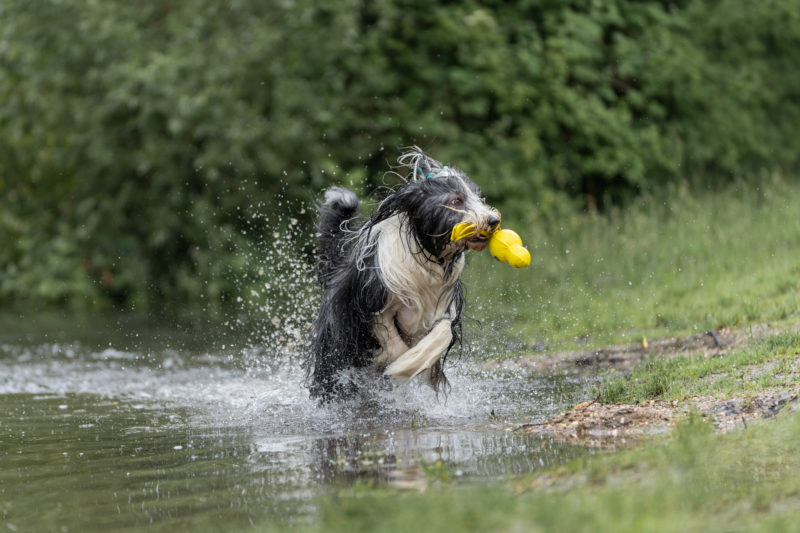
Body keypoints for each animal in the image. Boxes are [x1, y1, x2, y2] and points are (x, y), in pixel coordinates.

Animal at [310, 145, 496, 400]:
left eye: (480, 198)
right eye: (456, 200)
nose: (493, 220)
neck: (427, 256)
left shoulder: (444, 306)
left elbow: (442, 332)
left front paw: (417, 363)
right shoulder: (373, 303)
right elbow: (394, 344)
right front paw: (401, 364)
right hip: (335, 350)